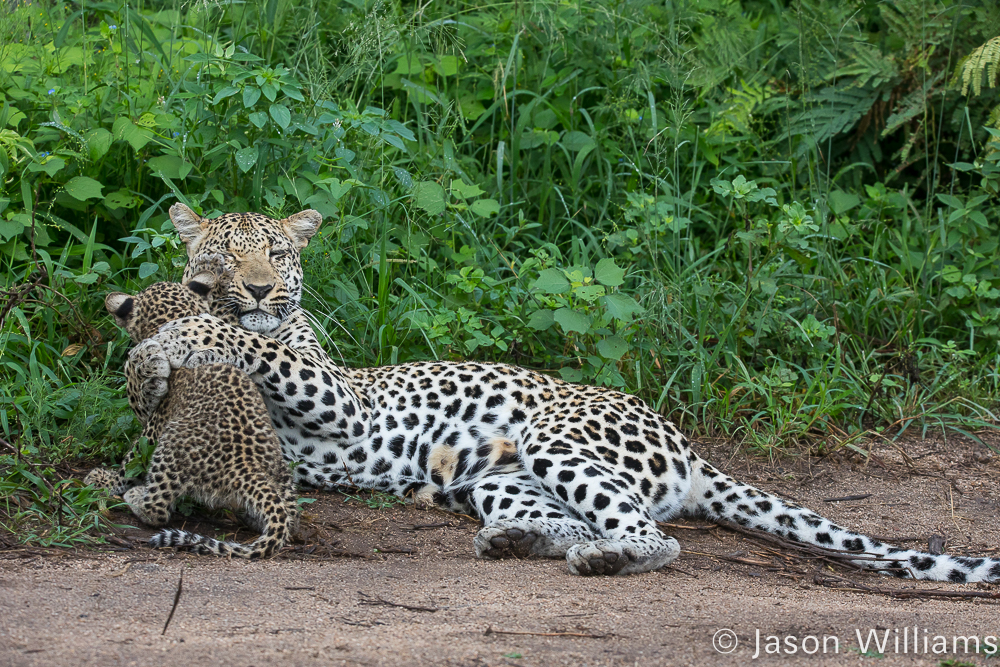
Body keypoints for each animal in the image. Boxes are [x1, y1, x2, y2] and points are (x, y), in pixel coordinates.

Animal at [127, 202, 1000, 580]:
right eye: (223, 255)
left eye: (275, 253)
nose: (260, 288)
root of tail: (688, 447)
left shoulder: (340, 396)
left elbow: (248, 345)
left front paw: (172, 340)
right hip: (500, 479)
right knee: (578, 520)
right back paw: (525, 542)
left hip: (559, 437)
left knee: (659, 539)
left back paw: (606, 558)